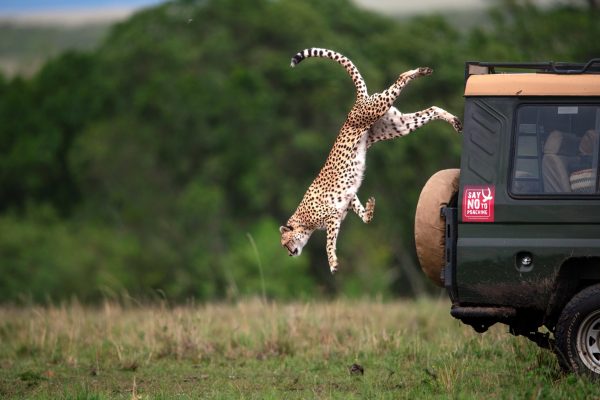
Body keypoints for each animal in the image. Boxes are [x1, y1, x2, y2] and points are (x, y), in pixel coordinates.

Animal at [278, 46, 462, 272]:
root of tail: (357, 103)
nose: (289, 253)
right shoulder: (347, 199)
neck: (304, 221)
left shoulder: (331, 218)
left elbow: (328, 242)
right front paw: (370, 209)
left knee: (400, 80)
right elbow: (362, 216)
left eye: (285, 243)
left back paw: (420, 71)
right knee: (432, 109)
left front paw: (332, 263)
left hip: (375, 109)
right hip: (398, 125)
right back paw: (452, 119)